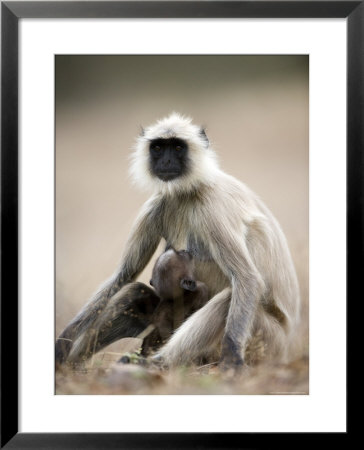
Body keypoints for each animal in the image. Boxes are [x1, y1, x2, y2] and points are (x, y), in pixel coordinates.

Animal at [56, 111, 298, 370]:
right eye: (158, 147)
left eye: (178, 147)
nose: (166, 162)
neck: (188, 192)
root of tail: (286, 350)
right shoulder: (156, 204)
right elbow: (124, 275)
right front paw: (64, 341)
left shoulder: (213, 207)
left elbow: (247, 278)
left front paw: (231, 357)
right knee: (135, 292)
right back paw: (74, 366)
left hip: (265, 342)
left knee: (227, 298)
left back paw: (153, 363)